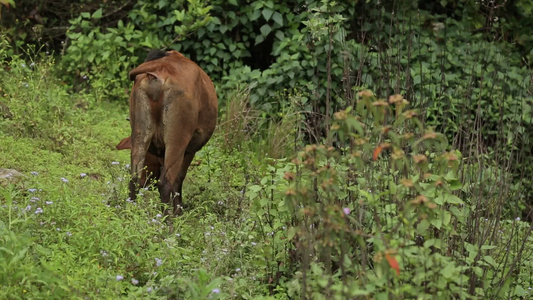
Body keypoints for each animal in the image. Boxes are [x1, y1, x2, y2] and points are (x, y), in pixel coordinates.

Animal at [116, 49, 216, 213]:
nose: (145, 182)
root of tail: (159, 69)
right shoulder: (190, 150)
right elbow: (178, 180)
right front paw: (179, 211)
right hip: (178, 140)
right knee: (165, 183)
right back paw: (168, 219)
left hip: (140, 133)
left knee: (134, 177)